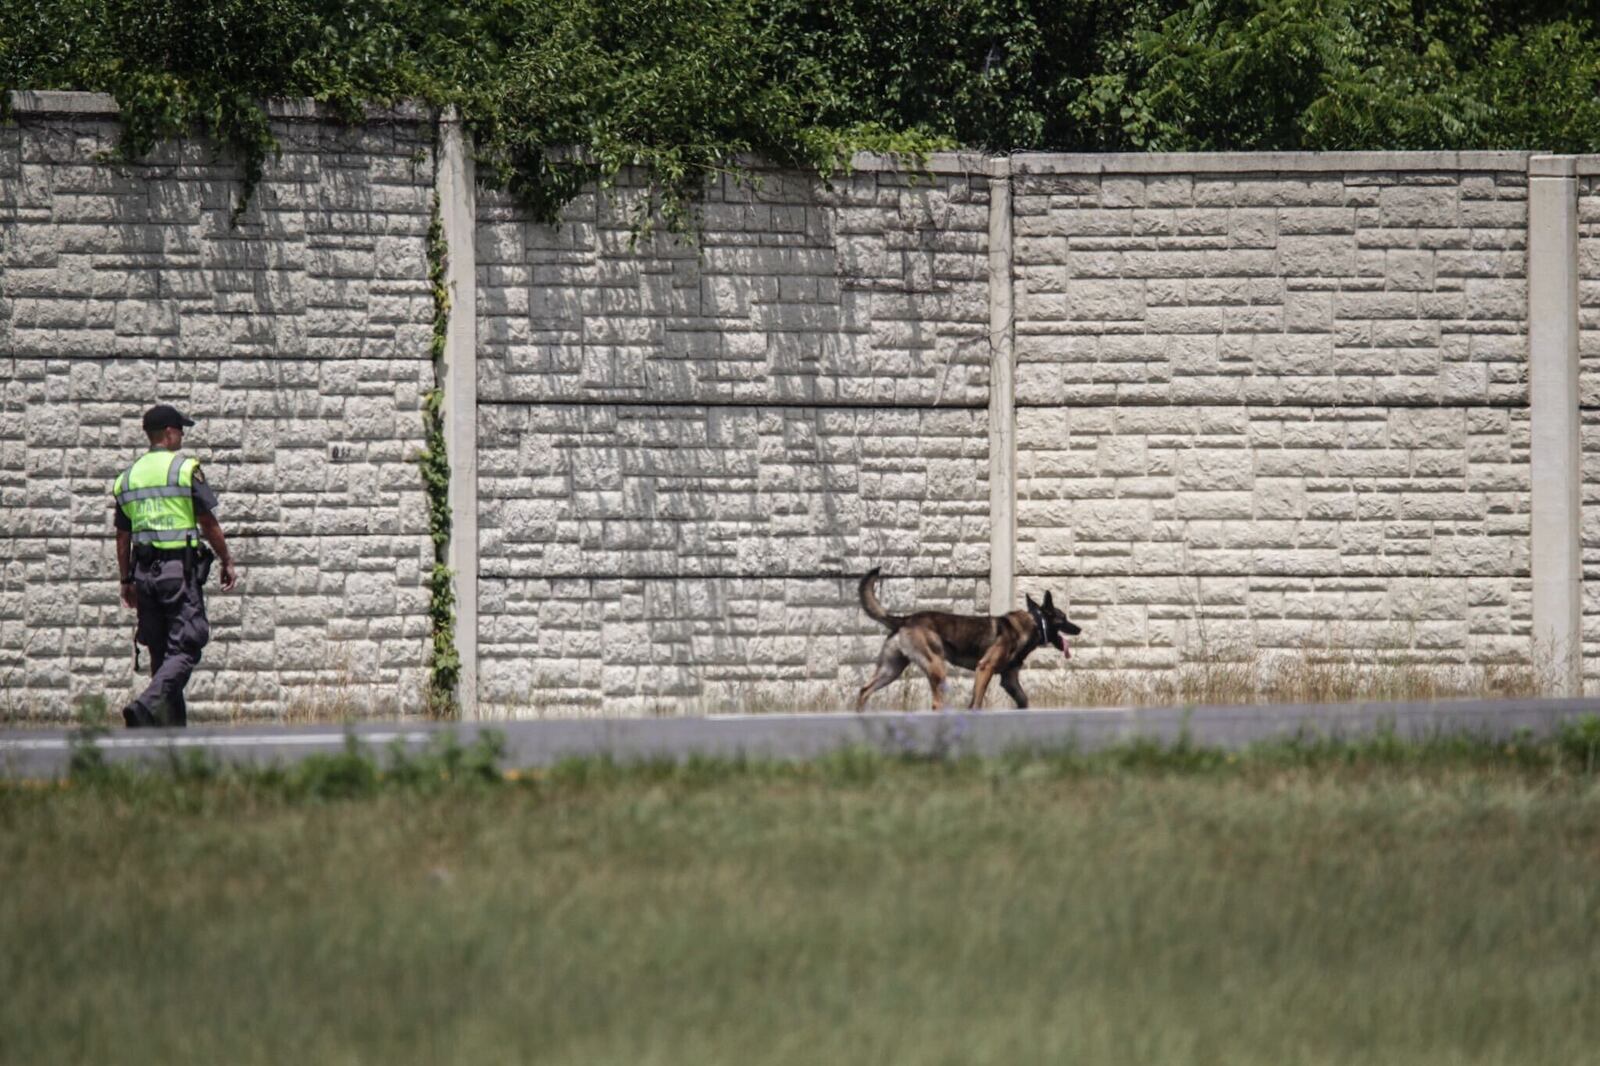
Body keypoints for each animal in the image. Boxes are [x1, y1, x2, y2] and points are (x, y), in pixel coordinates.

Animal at [851, 569, 1088, 710]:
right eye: (1064, 618)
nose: (1079, 629)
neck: (1034, 623)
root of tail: (905, 619)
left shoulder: (1010, 680)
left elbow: (1024, 701)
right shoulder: (985, 669)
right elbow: (976, 703)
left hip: (891, 670)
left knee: (863, 691)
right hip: (936, 668)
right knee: (936, 703)